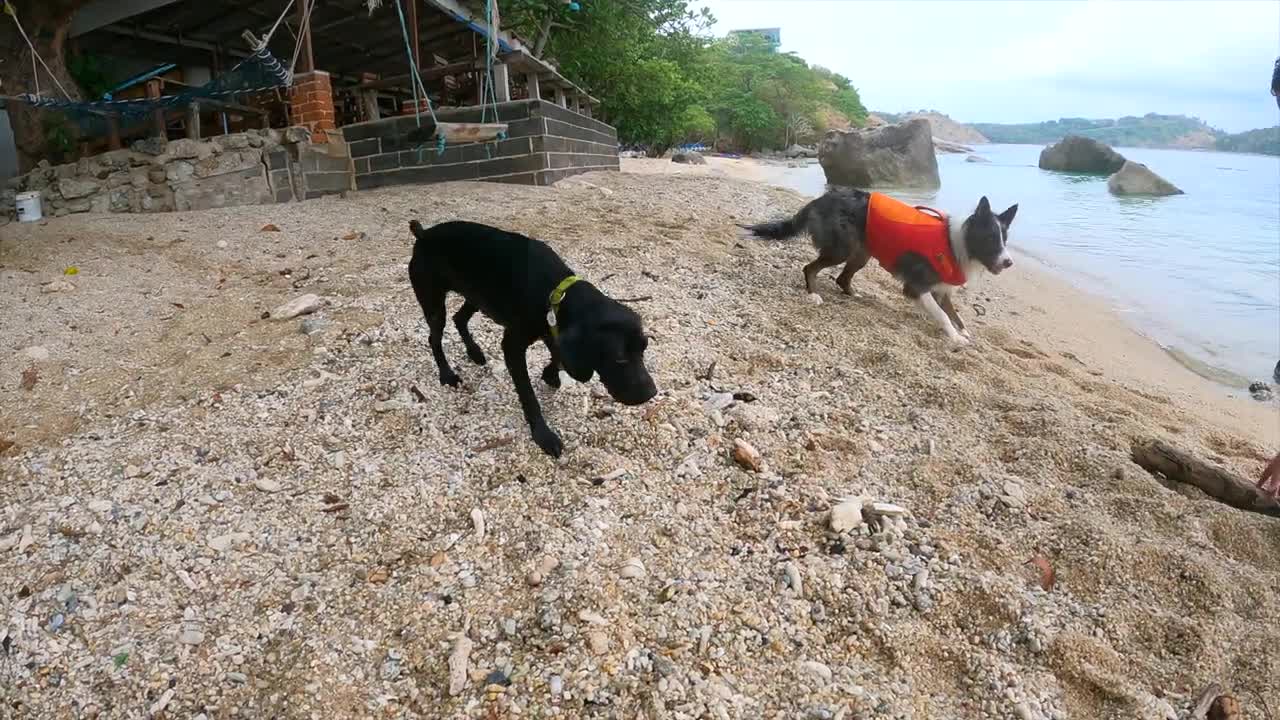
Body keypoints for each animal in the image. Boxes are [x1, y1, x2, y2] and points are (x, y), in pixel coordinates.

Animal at [407, 215, 660, 456]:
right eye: (619, 358)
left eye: (644, 348)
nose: (651, 393)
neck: (555, 291)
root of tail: (424, 234)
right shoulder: (513, 347)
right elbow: (529, 395)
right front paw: (543, 435)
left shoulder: (553, 329)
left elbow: (558, 355)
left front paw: (550, 375)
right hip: (434, 303)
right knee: (434, 338)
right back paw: (447, 374)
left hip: (477, 296)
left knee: (459, 318)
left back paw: (475, 352)